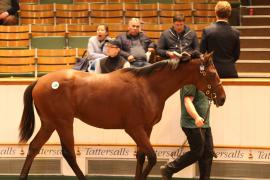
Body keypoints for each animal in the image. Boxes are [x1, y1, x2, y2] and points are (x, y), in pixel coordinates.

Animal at [18, 53, 226, 180]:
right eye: (212, 73)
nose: (222, 98)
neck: (148, 87)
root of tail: (39, 81)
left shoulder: (146, 128)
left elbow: (141, 156)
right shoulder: (134, 129)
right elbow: (151, 157)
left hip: (49, 123)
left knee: (34, 147)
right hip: (63, 123)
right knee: (68, 153)